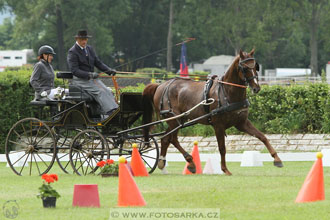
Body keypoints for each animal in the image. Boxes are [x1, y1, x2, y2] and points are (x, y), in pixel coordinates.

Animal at [142, 49, 284, 174]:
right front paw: (225, 169)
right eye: (244, 68)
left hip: (179, 120)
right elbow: (222, 148)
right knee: (172, 139)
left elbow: (262, 136)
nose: (256, 88)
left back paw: (163, 163)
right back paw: (190, 162)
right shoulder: (218, 125)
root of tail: (161, 85)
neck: (227, 92)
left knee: (166, 138)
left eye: (255, 66)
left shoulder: (242, 123)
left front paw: (277, 159)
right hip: (174, 119)